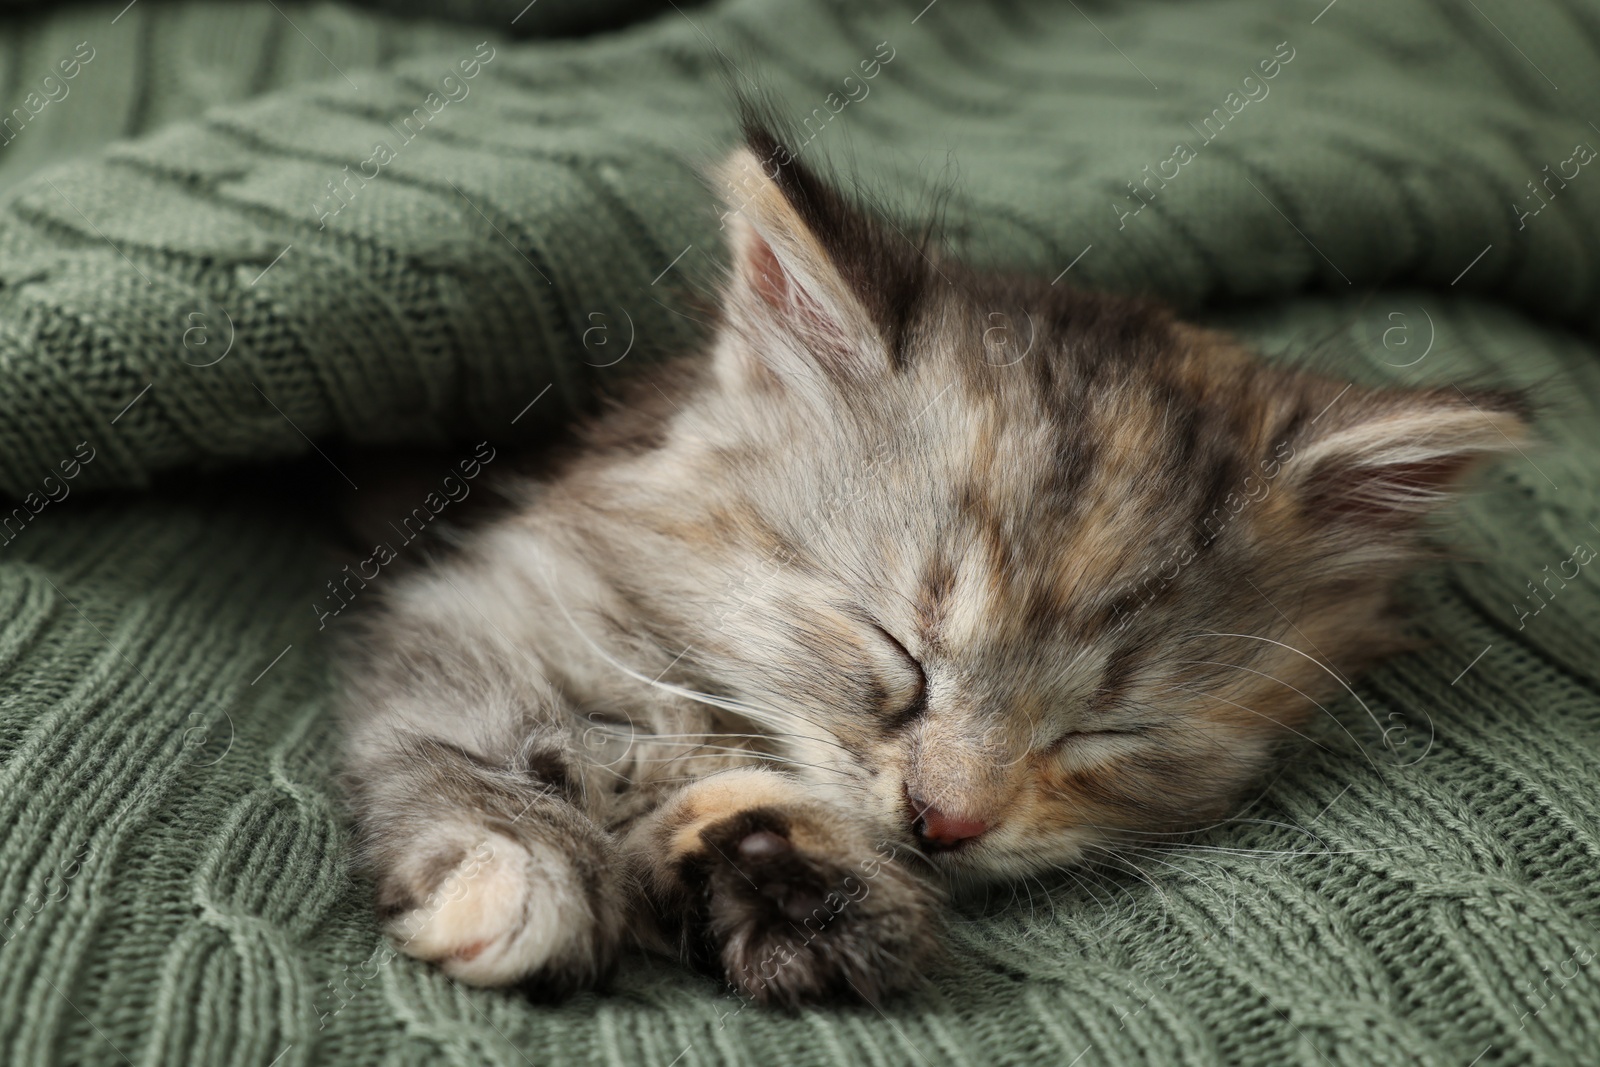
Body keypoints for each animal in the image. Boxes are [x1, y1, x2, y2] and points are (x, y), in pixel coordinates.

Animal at [334, 127, 1523, 1011]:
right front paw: (512, 870)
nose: (946, 821)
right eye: (897, 650)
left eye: (1109, 728)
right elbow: (475, 754)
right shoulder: (480, 612)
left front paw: (791, 876)